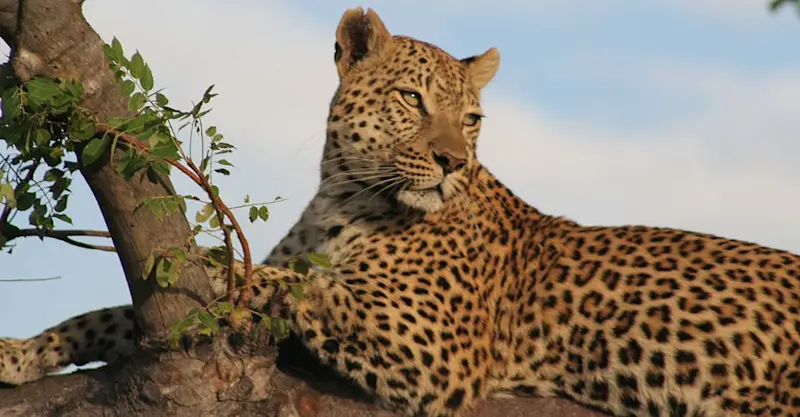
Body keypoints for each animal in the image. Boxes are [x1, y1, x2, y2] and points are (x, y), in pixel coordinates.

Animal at [3, 6, 800, 417]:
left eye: (471, 118)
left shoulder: (433, 348)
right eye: (413, 101)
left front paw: (214, 260)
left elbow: (297, 282)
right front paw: (22, 352)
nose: (452, 161)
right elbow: (112, 316)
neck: (344, 194)